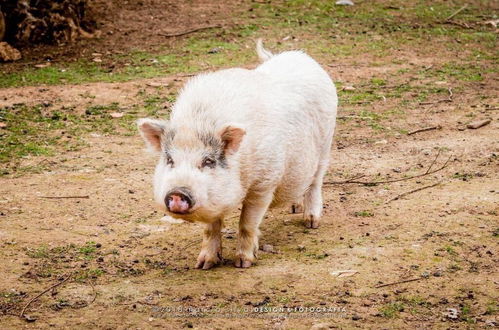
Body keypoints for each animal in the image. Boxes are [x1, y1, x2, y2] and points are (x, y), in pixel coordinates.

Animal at [139, 40, 338, 270]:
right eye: (170, 159)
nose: (178, 193)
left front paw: (243, 263)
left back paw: (311, 222)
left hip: (325, 144)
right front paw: (204, 264)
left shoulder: (264, 183)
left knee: (315, 182)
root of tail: (301, 56)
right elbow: (210, 228)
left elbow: (247, 223)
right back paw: (294, 208)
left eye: (208, 161)